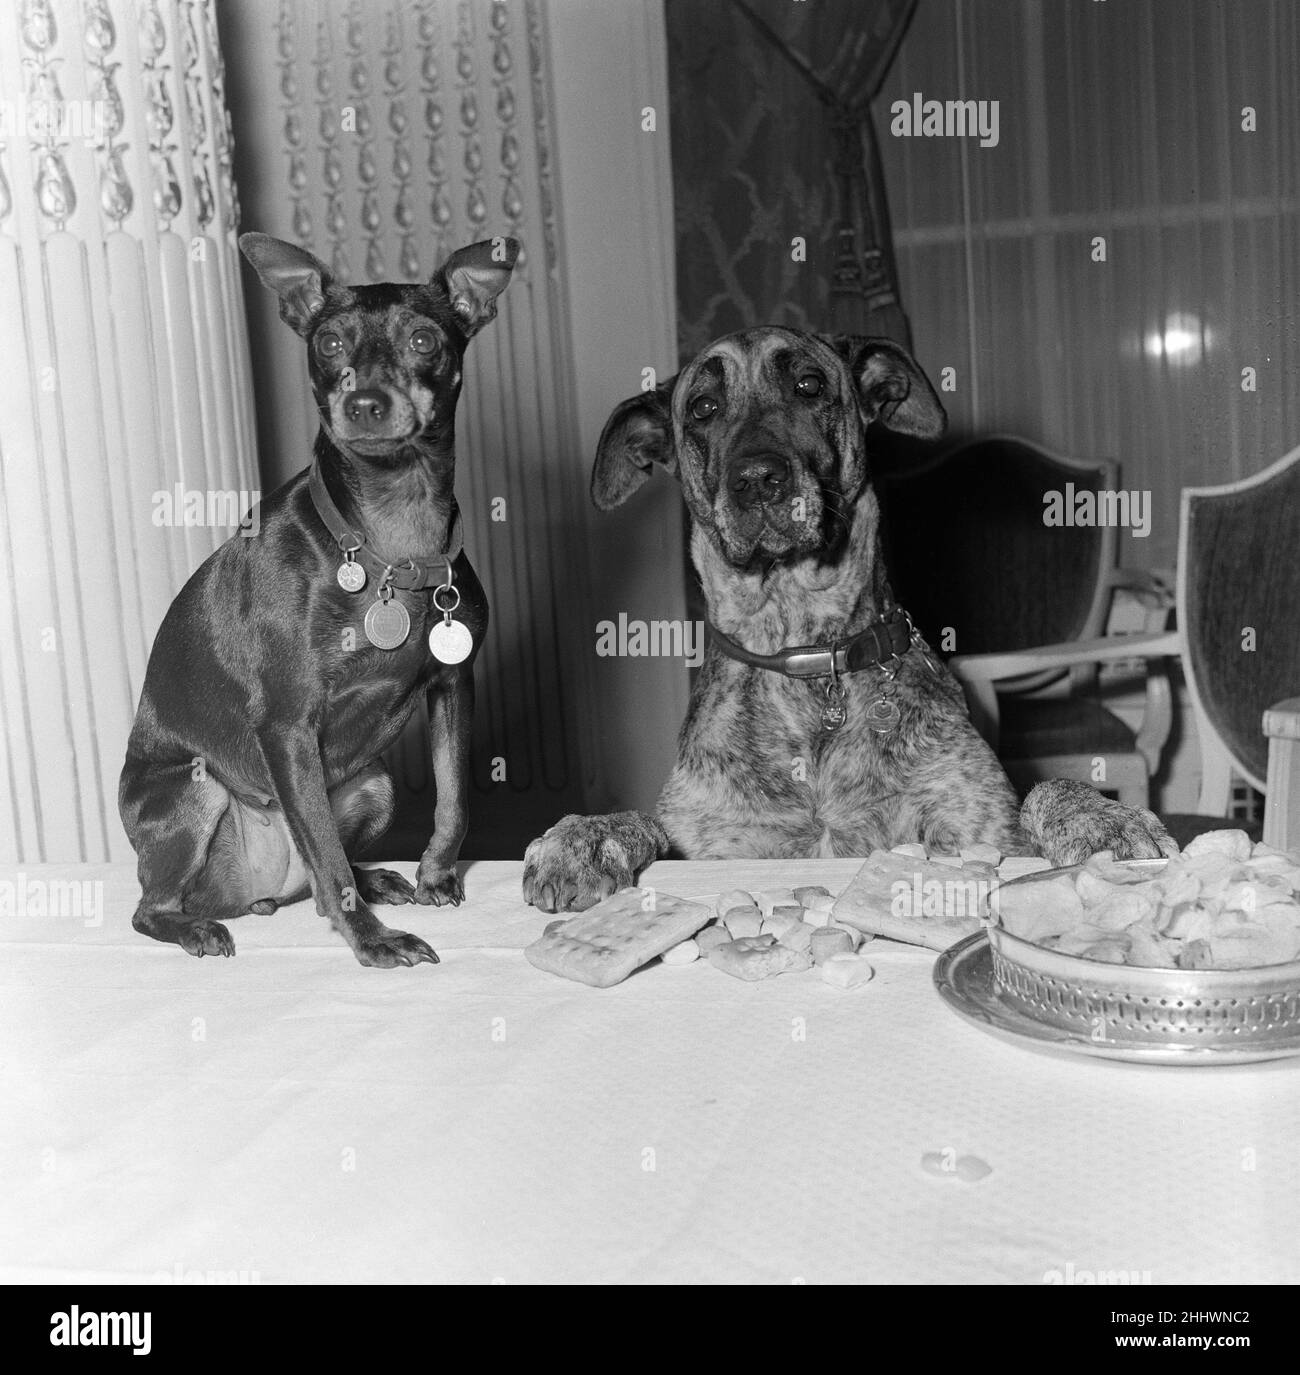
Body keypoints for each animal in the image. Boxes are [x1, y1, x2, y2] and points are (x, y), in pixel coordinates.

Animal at [116, 233, 511, 968]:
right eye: (328, 343)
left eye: (423, 339)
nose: (365, 404)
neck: (389, 544)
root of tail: (257, 891)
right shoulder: (288, 725)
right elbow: (326, 853)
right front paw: (372, 941)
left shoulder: (453, 682)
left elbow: (453, 800)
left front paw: (437, 874)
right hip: (197, 790)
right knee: (156, 906)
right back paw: (195, 927)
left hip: (374, 784)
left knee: (322, 867)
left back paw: (375, 876)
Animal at [520, 327, 1177, 913]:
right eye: (703, 408)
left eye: (809, 385)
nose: (758, 480)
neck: (805, 650)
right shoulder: (712, 841)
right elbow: (638, 818)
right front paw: (583, 836)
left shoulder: (978, 828)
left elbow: (1047, 787)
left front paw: (1103, 818)